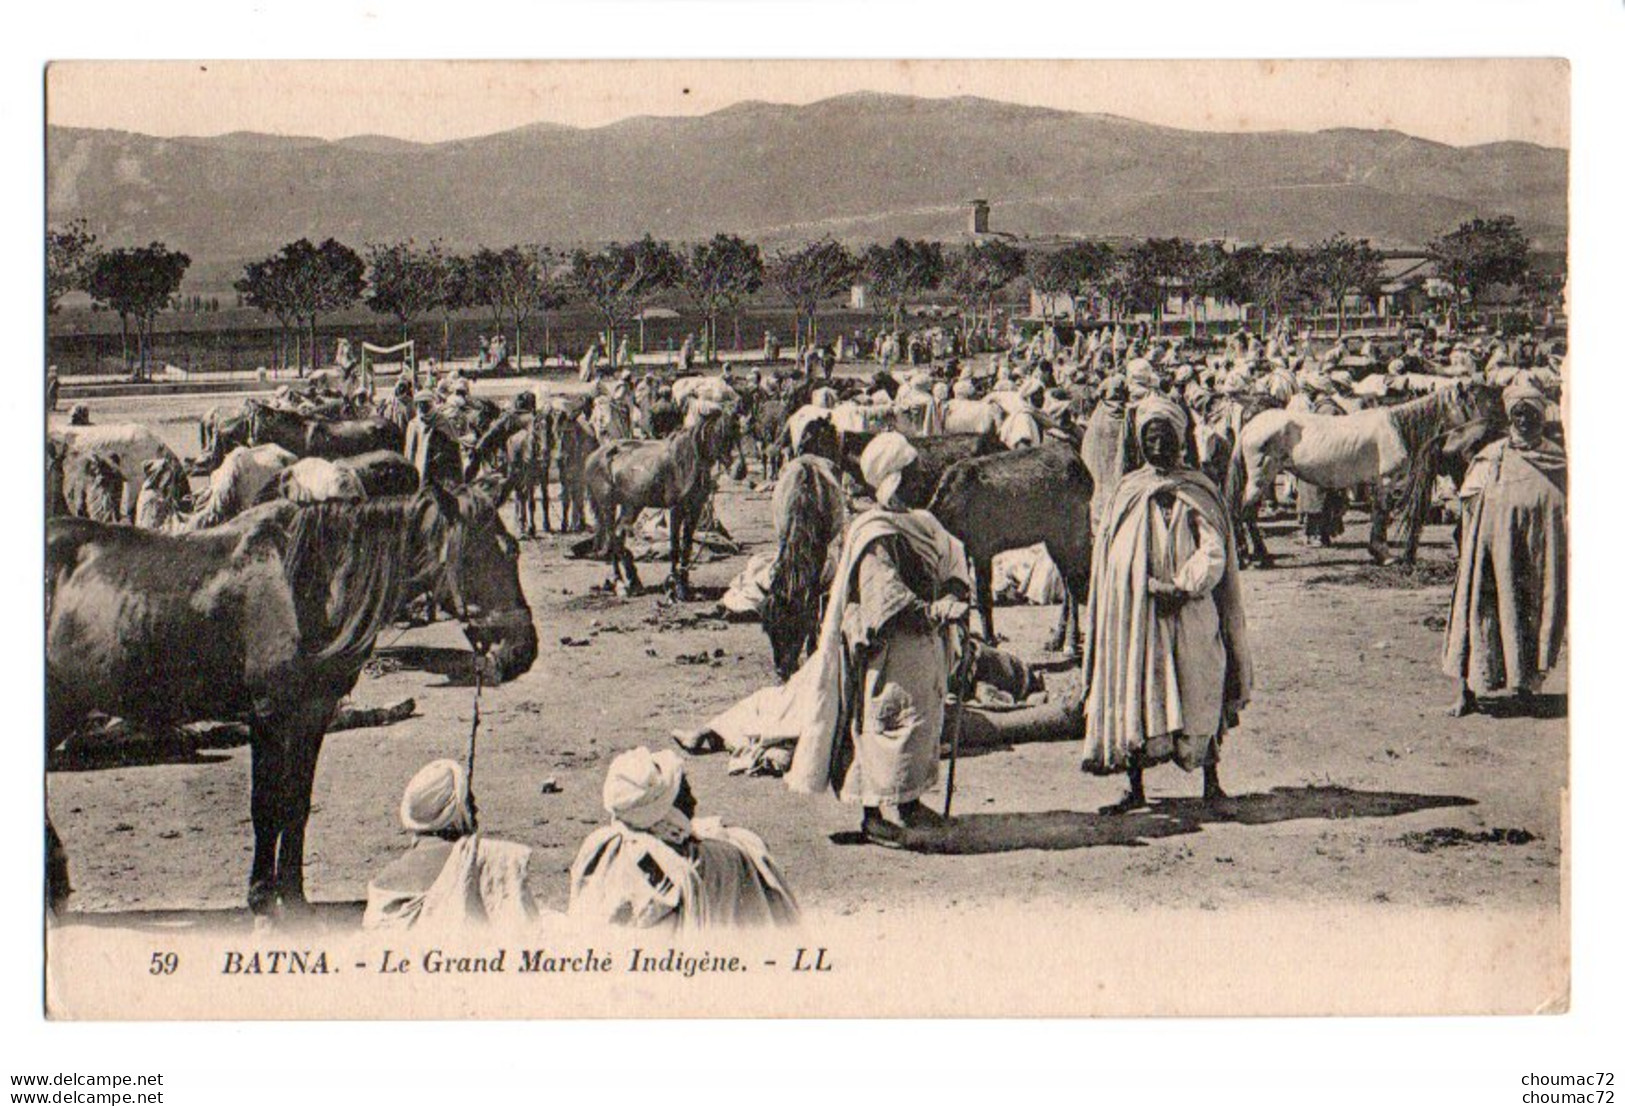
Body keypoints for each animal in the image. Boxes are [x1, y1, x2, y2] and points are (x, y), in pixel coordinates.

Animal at [44, 483, 536, 915]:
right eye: (475, 555)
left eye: (512, 549)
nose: (522, 651)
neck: (303, 587)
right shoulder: (268, 715)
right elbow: (266, 806)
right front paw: (262, 896)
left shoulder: (312, 715)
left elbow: (296, 807)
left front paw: (294, 897)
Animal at [585, 407, 737, 600]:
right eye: (717, 432)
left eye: (738, 431)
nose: (738, 469)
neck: (685, 462)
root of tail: (594, 456)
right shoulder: (675, 509)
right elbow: (675, 547)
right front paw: (676, 586)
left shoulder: (695, 509)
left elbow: (687, 546)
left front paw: (684, 585)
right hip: (608, 506)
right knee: (611, 537)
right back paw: (619, 583)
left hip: (631, 505)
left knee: (619, 535)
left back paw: (634, 582)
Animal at [754, 451, 845, 678]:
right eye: (768, 629)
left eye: (796, 628)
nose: (782, 670)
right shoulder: (783, 539)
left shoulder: (820, 552)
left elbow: (812, 603)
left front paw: (813, 647)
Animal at [929, 438, 1092, 652]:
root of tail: (1083, 467)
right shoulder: (965, 550)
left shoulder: (981, 547)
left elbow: (983, 596)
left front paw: (990, 639)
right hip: (1052, 539)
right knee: (1066, 584)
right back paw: (1056, 641)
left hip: (1071, 532)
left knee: (1073, 584)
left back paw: (1070, 642)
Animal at [1222, 381, 1488, 568]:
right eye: (1470, 405)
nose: (1482, 432)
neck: (1397, 428)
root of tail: (1249, 427)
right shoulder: (1386, 481)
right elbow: (1381, 514)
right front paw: (1384, 554)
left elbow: (1379, 514)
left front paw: (1378, 553)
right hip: (1261, 477)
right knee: (1244, 514)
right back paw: (1250, 557)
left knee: (1246, 515)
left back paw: (1258, 555)